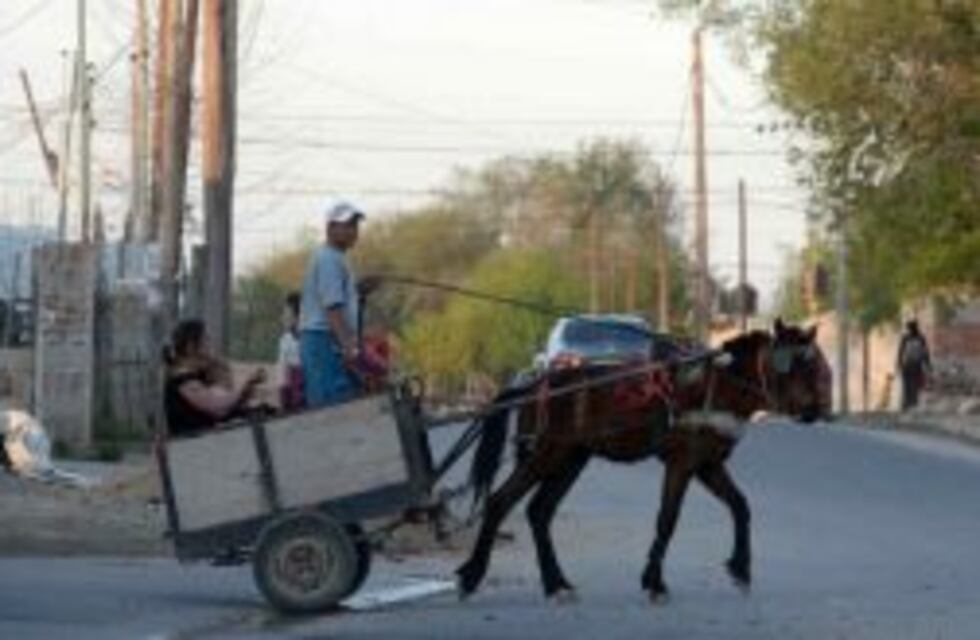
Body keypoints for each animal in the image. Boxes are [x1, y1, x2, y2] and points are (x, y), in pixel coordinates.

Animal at [455, 320, 829, 603]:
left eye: (816, 365)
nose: (817, 409)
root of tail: (534, 386)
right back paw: (472, 575)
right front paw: (655, 582)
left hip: (572, 458)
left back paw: (556, 584)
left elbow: (740, 506)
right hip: (548, 452)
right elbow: (667, 520)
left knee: (539, 512)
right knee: (501, 500)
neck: (716, 387)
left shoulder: (707, 463)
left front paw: (740, 569)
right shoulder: (682, 462)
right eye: (794, 363)